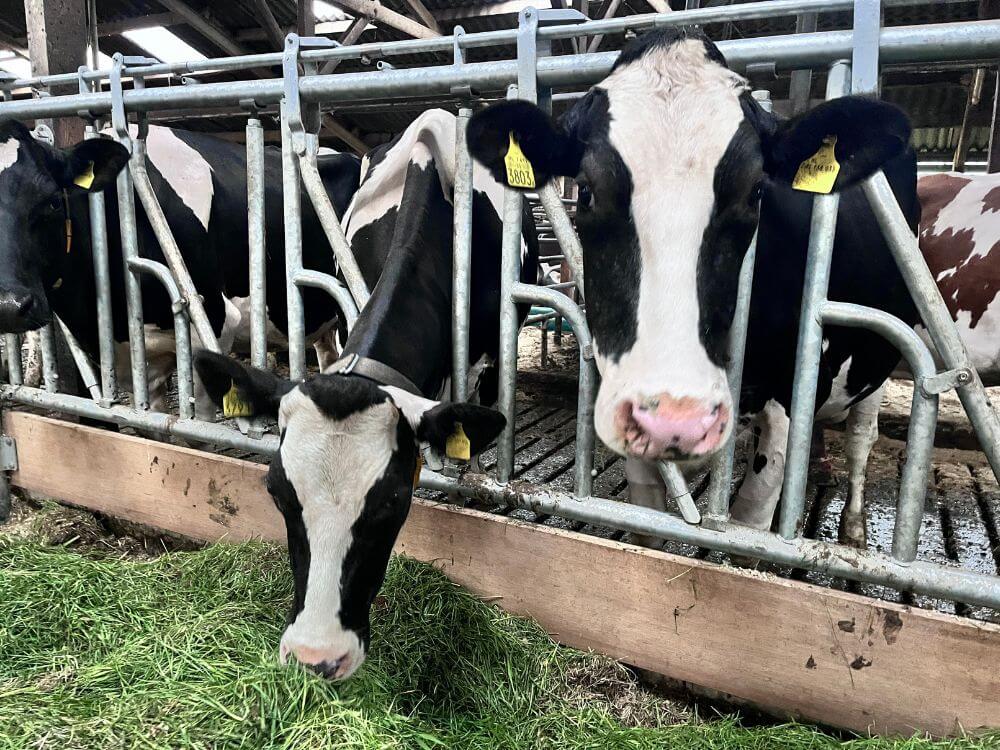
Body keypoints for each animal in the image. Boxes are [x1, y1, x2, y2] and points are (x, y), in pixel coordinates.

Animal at [466, 28, 920, 539]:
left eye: (757, 192)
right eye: (586, 190)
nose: (676, 419)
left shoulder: (794, 394)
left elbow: (752, 519)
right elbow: (645, 513)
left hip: (883, 347)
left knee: (863, 435)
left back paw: (855, 527)